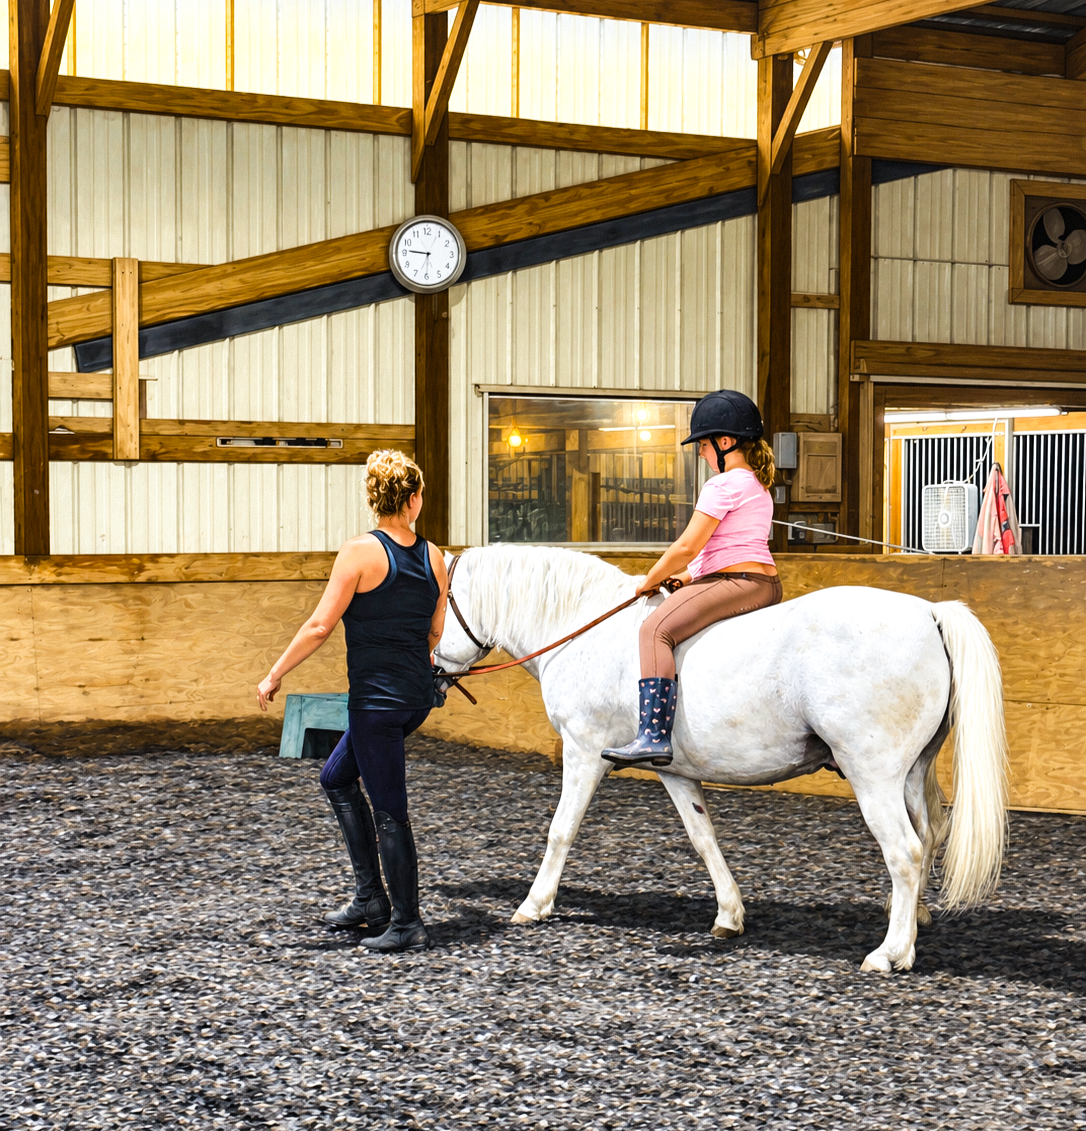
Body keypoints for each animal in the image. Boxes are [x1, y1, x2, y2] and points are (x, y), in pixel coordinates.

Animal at [433, 545, 1008, 973]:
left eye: (440, 603)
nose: (434, 669)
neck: (583, 632)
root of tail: (929, 612)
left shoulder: (583, 752)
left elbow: (560, 831)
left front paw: (533, 906)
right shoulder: (674, 770)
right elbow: (702, 838)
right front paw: (730, 916)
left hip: (873, 773)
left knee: (905, 852)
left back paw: (889, 953)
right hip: (911, 770)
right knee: (929, 834)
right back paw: (913, 923)